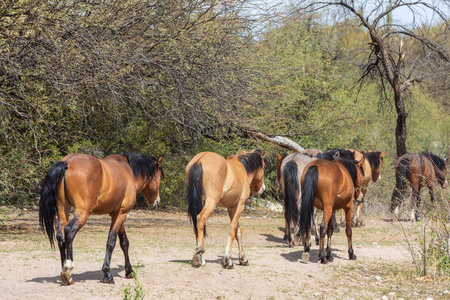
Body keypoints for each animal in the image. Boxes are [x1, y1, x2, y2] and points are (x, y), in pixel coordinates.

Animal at [39, 154, 163, 284]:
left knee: (60, 236)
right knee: (69, 232)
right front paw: (107, 273)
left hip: (63, 210)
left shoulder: (117, 214)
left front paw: (129, 271)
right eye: (159, 176)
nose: (157, 201)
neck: (129, 172)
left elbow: (124, 242)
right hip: (83, 212)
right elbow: (111, 242)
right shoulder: (122, 214)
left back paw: (63, 271)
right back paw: (68, 270)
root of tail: (67, 162)